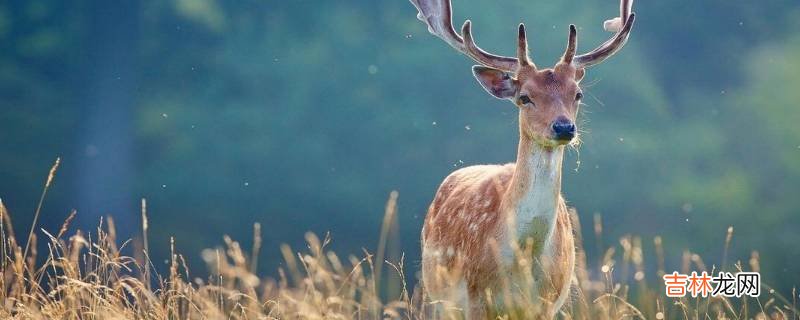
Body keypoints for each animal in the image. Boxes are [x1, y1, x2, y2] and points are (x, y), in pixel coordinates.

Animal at [410, 0, 636, 318]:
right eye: (525, 97)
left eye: (577, 94)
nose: (564, 127)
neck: (523, 259)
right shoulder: (476, 298)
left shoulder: (547, 302)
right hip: (438, 297)